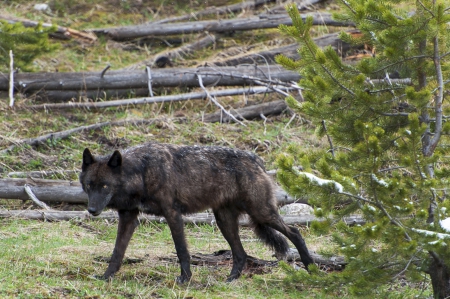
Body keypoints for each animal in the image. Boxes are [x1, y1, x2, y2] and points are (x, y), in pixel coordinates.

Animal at [79, 143, 312, 284]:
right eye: (89, 185)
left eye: (105, 186)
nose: (92, 210)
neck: (142, 173)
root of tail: (257, 159)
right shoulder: (128, 217)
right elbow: (117, 252)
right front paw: (105, 277)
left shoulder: (172, 214)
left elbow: (181, 250)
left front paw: (185, 279)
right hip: (225, 222)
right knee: (241, 254)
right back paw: (231, 279)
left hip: (261, 213)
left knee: (294, 232)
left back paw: (310, 266)